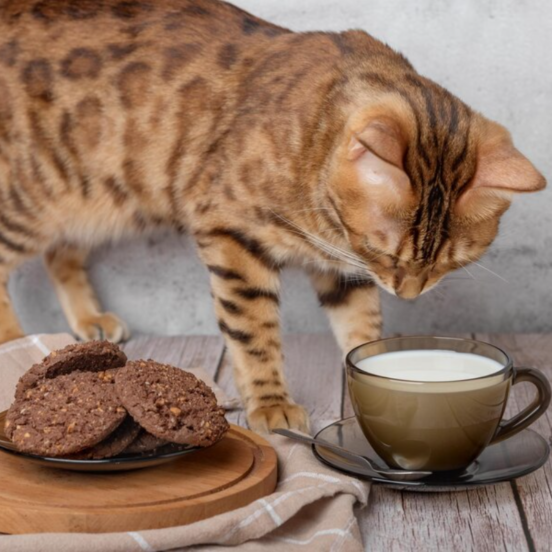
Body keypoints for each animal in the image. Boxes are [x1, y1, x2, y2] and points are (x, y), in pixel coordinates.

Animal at [0, 0, 544, 432]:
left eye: (449, 263)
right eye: (383, 249)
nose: (407, 293)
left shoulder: (343, 267)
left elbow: (360, 323)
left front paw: (376, 363)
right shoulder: (232, 234)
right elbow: (252, 331)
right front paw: (271, 403)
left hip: (89, 197)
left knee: (60, 252)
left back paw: (89, 319)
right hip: (29, 198)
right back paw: (14, 342)